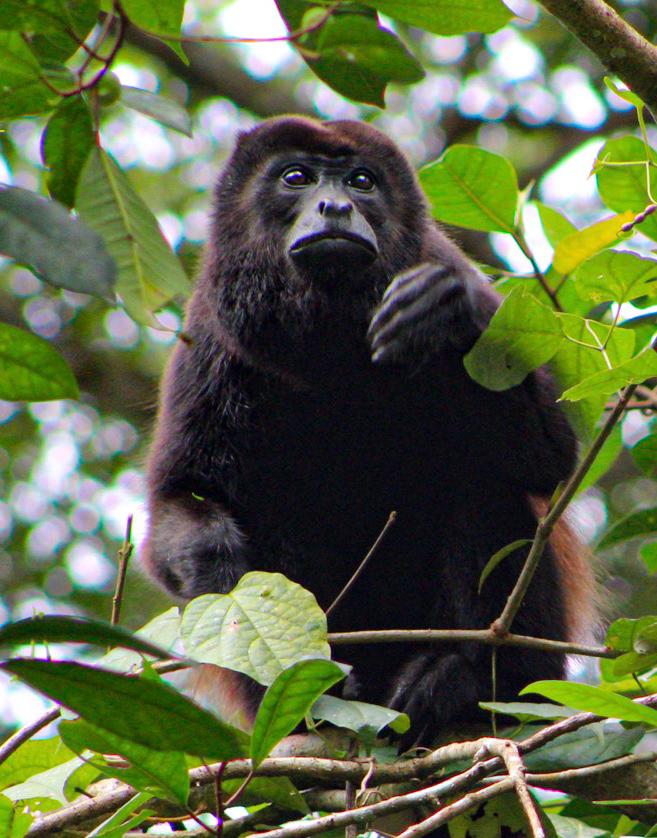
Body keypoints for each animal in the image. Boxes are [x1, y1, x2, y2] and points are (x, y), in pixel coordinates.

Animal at [142, 116, 595, 747]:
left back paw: (460, 679)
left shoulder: (441, 260)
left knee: (482, 485)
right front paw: (221, 566)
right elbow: (182, 499)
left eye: (362, 181)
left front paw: (446, 310)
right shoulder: (210, 333)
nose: (335, 206)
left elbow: (551, 457)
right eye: (295, 177)